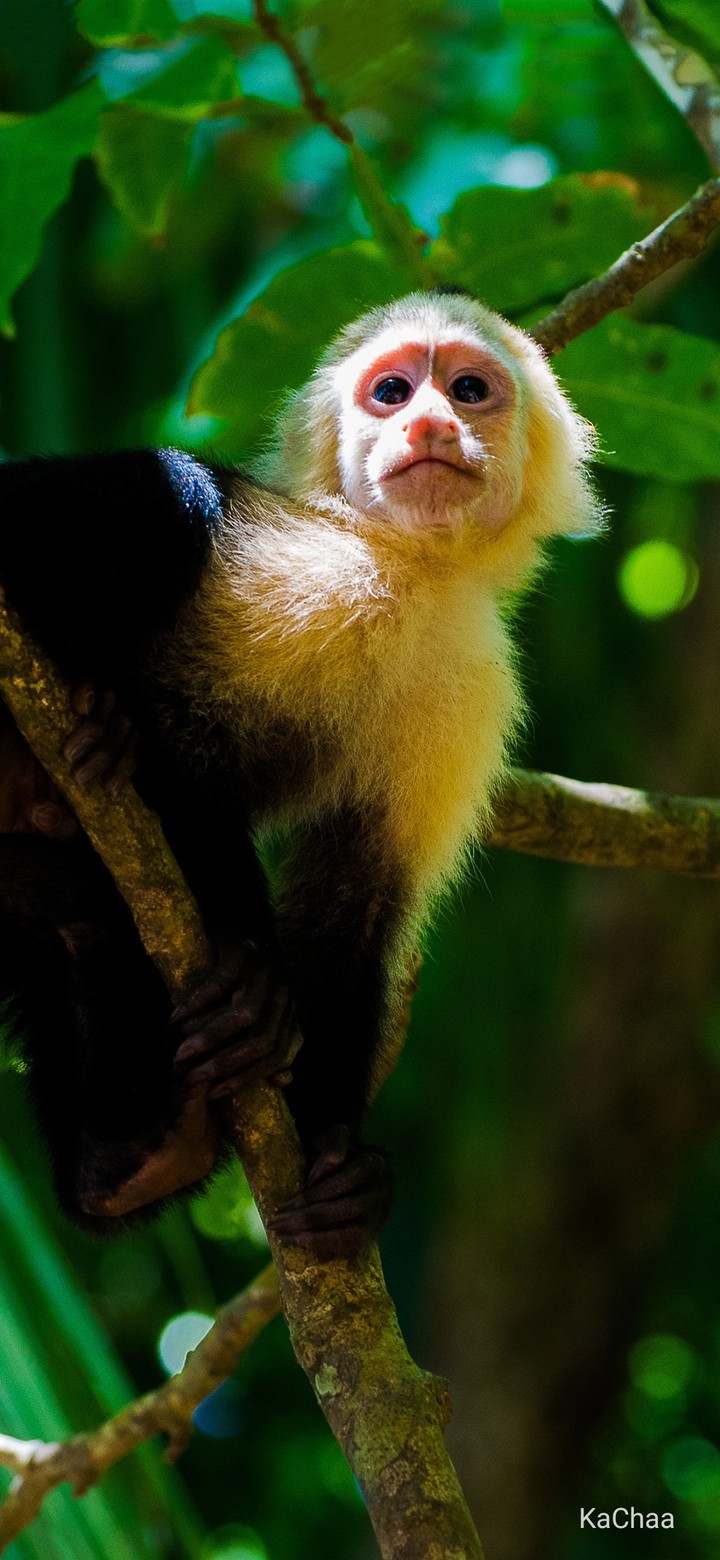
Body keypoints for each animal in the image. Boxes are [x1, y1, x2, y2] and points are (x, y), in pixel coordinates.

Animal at [0, 289, 602, 1257]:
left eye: (469, 391)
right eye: (391, 392)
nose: (429, 422)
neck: (405, 572)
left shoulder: (468, 688)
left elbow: (359, 905)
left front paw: (342, 1163)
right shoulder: (298, 555)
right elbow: (186, 783)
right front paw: (250, 977)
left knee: (72, 912)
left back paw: (132, 1153)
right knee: (164, 496)